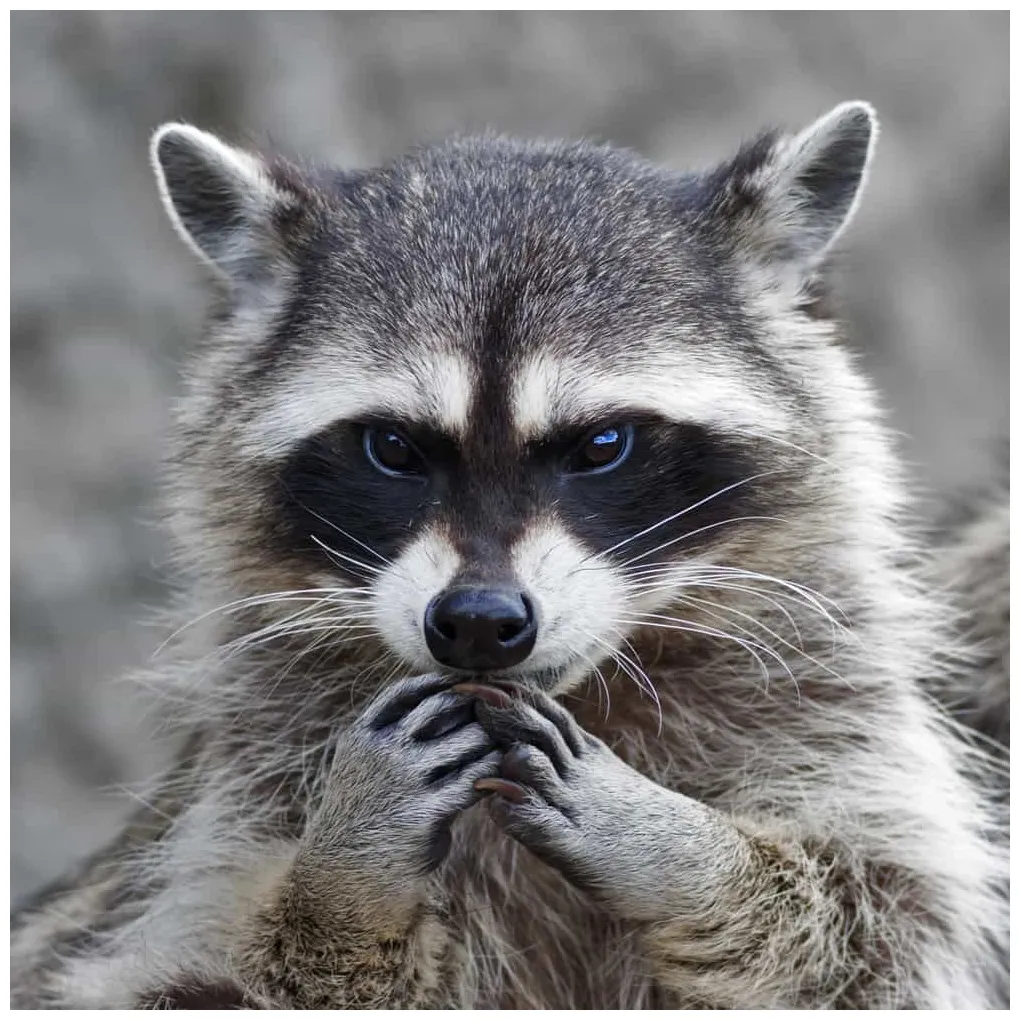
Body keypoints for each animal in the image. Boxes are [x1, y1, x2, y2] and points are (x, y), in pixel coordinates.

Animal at [11, 102, 1009, 1008]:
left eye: (604, 444)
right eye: (392, 448)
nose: (479, 623)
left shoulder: (834, 720)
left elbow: (877, 927)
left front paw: (681, 851)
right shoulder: (226, 815)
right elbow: (190, 977)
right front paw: (341, 883)